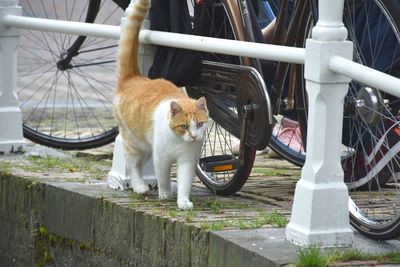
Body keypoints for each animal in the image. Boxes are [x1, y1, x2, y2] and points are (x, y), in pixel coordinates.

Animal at [111, 0, 206, 210]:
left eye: (200, 124)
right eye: (183, 126)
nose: (194, 136)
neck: (179, 142)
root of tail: (134, 78)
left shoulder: (187, 161)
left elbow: (185, 182)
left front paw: (183, 201)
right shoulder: (161, 158)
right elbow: (162, 177)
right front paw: (165, 194)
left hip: (147, 148)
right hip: (135, 143)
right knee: (134, 165)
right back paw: (139, 186)